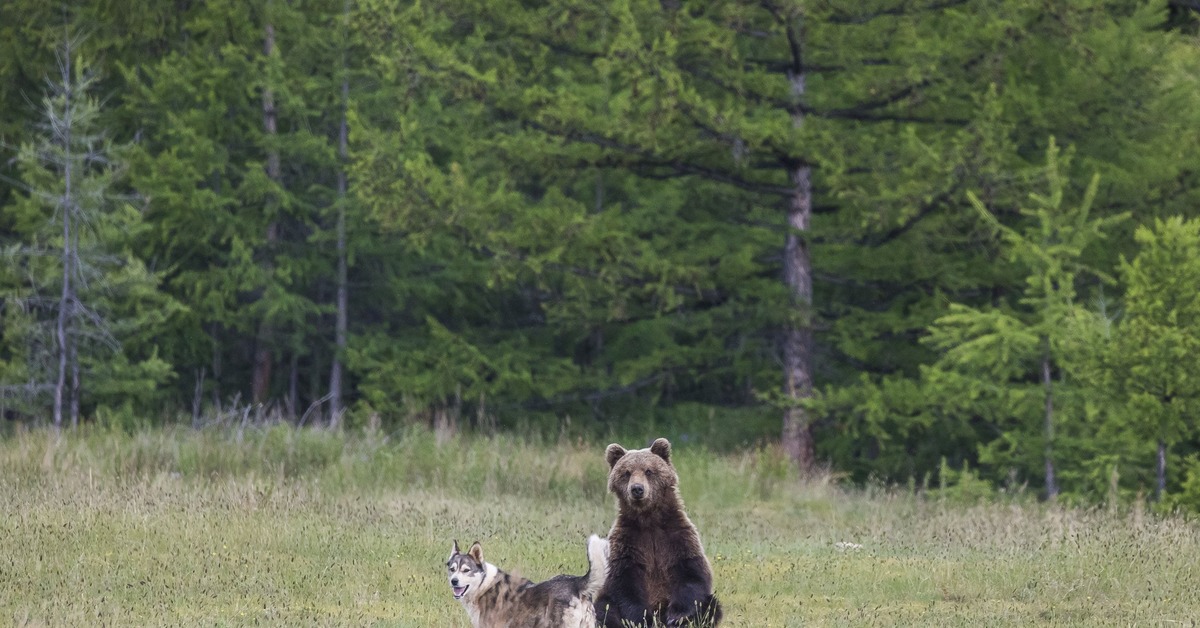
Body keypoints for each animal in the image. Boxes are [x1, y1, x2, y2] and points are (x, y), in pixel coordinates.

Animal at [597, 439, 724, 624]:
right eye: (626, 472)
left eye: (648, 471)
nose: (637, 489)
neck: (649, 519)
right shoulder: (626, 542)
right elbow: (624, 583)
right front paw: (642, 618)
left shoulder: (677, 536)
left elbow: (692, 574)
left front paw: (676, 617)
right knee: (605, 608)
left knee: (711, 606)